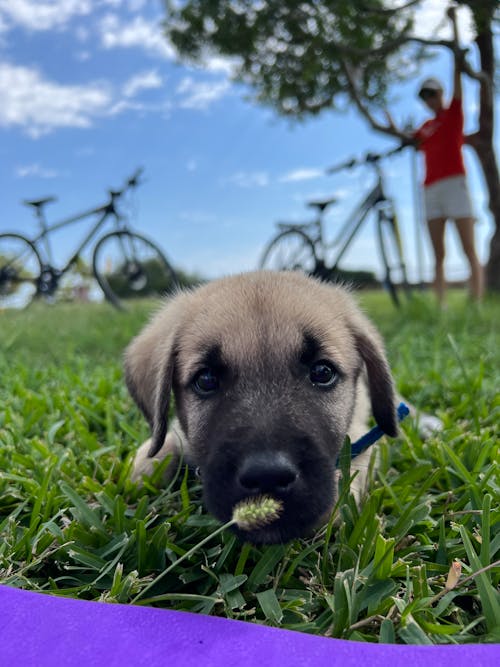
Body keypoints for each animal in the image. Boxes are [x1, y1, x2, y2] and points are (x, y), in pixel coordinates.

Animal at [125, 270, 398, 544]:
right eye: (206, 380)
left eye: (322, 372)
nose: (268, 476)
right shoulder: (179, 433)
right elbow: (159, 448)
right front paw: (139, 472)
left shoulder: (365, 440)